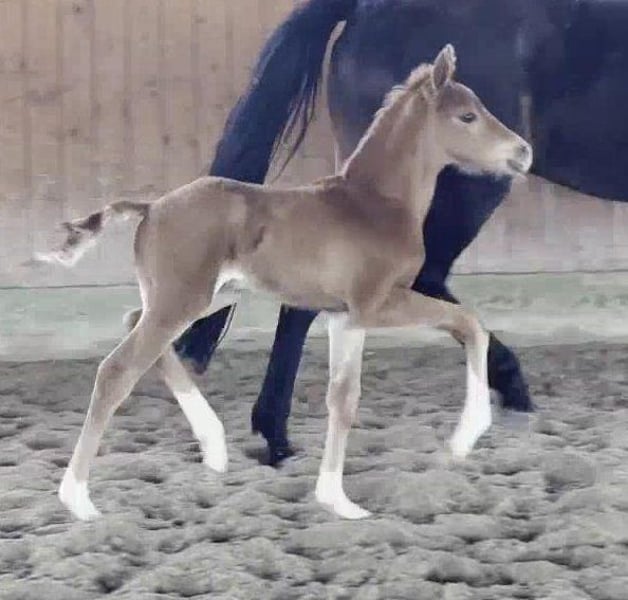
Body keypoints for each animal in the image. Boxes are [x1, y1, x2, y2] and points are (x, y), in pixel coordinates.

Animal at [42, 45, 532, 521]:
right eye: (467, 116)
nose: (523, 152)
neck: (375, 204)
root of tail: (151, 207)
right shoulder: (377, 303)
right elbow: (469, 322)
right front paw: (465, 437)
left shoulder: (344, 317)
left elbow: (344, 398)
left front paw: (337, 499)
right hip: (181, 301)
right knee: (117, 370)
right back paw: (78, 498)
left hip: (206, 298)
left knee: (133, 321)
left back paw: (214, 445)